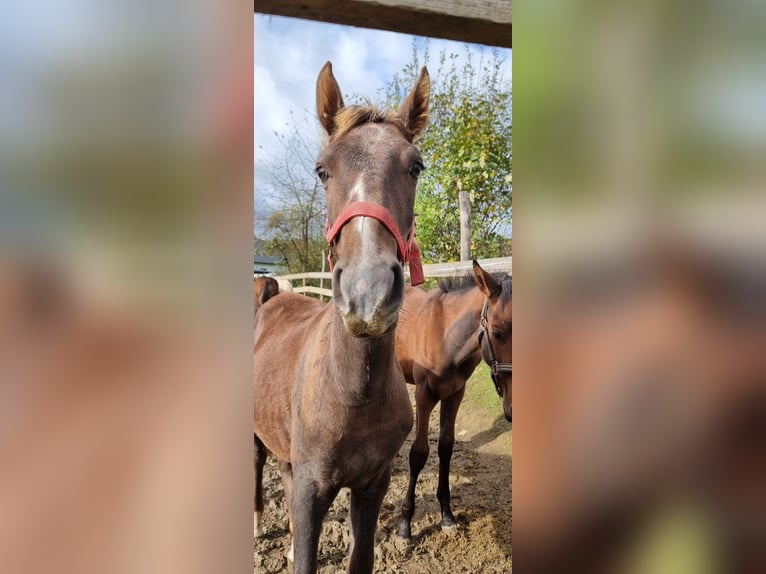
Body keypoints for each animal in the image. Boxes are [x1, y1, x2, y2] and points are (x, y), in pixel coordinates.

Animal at [254, 63, 428, 574]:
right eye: (322, 169)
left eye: (416, 166)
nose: (367, 294)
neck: (352, 391)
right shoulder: (313, 492)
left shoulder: (372, 484)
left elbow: (361, 558)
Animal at [392, 260, 512, 540]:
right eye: (498, 332)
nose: (512, 409)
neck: (446, 337)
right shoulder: (424, 394)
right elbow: (419, 453)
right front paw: (405, 524)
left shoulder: (455, 392)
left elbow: (445, 447)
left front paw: (447, 514)